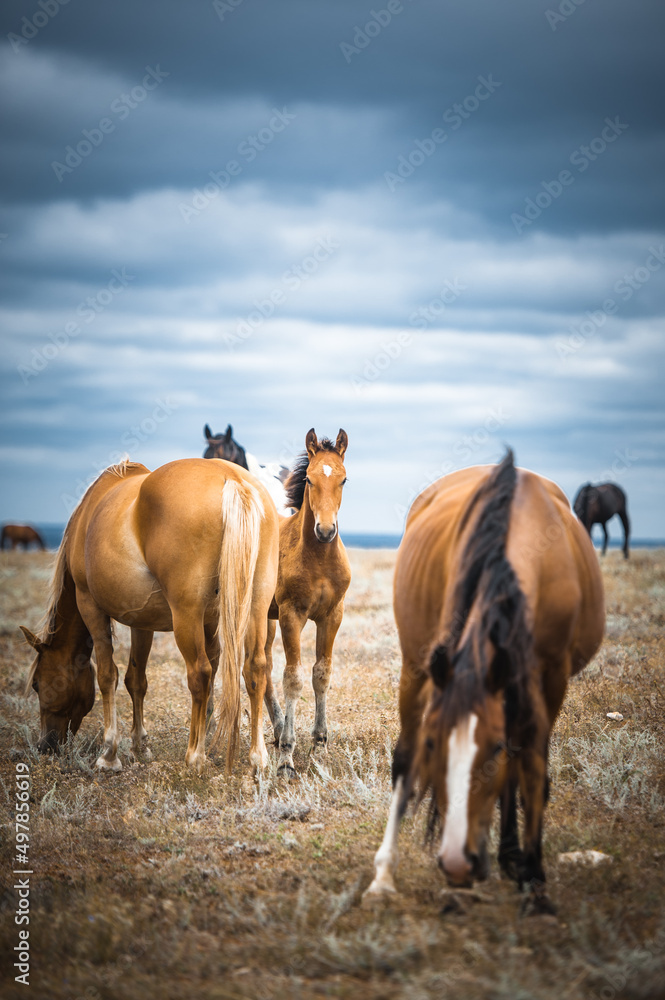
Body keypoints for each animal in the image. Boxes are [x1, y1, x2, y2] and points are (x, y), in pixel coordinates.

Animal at [20, 458, 279, 775]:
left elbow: (107, 675)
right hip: (256, 607)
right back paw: (258, 757)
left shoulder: (90, 606)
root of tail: (232, 479)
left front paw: (109, 754)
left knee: (200, 673)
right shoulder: (146, 621)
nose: (45, 746)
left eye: (36, 684)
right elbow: (136, 679)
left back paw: (194, 757)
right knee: (255, 669)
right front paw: (139, 745)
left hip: (185, 615)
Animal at [263, 428, 351, 778]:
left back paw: (275, 731)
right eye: (311, 480)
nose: (325, 530)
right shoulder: (292, 615)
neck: (319, 559)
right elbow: (293, 677)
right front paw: (287, 758)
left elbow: (320, 674)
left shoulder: (332, 616)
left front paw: (320, 746)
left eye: (344, 479)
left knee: (257, 666)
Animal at [363, 450, 604, 914]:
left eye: (490, 749)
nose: (458, 862)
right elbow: (406, 761)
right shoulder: (431, 670)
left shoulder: (551, 680)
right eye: (434, 745)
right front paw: (388, 875)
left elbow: (530, 768)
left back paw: (511, 855)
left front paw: (535, 883)